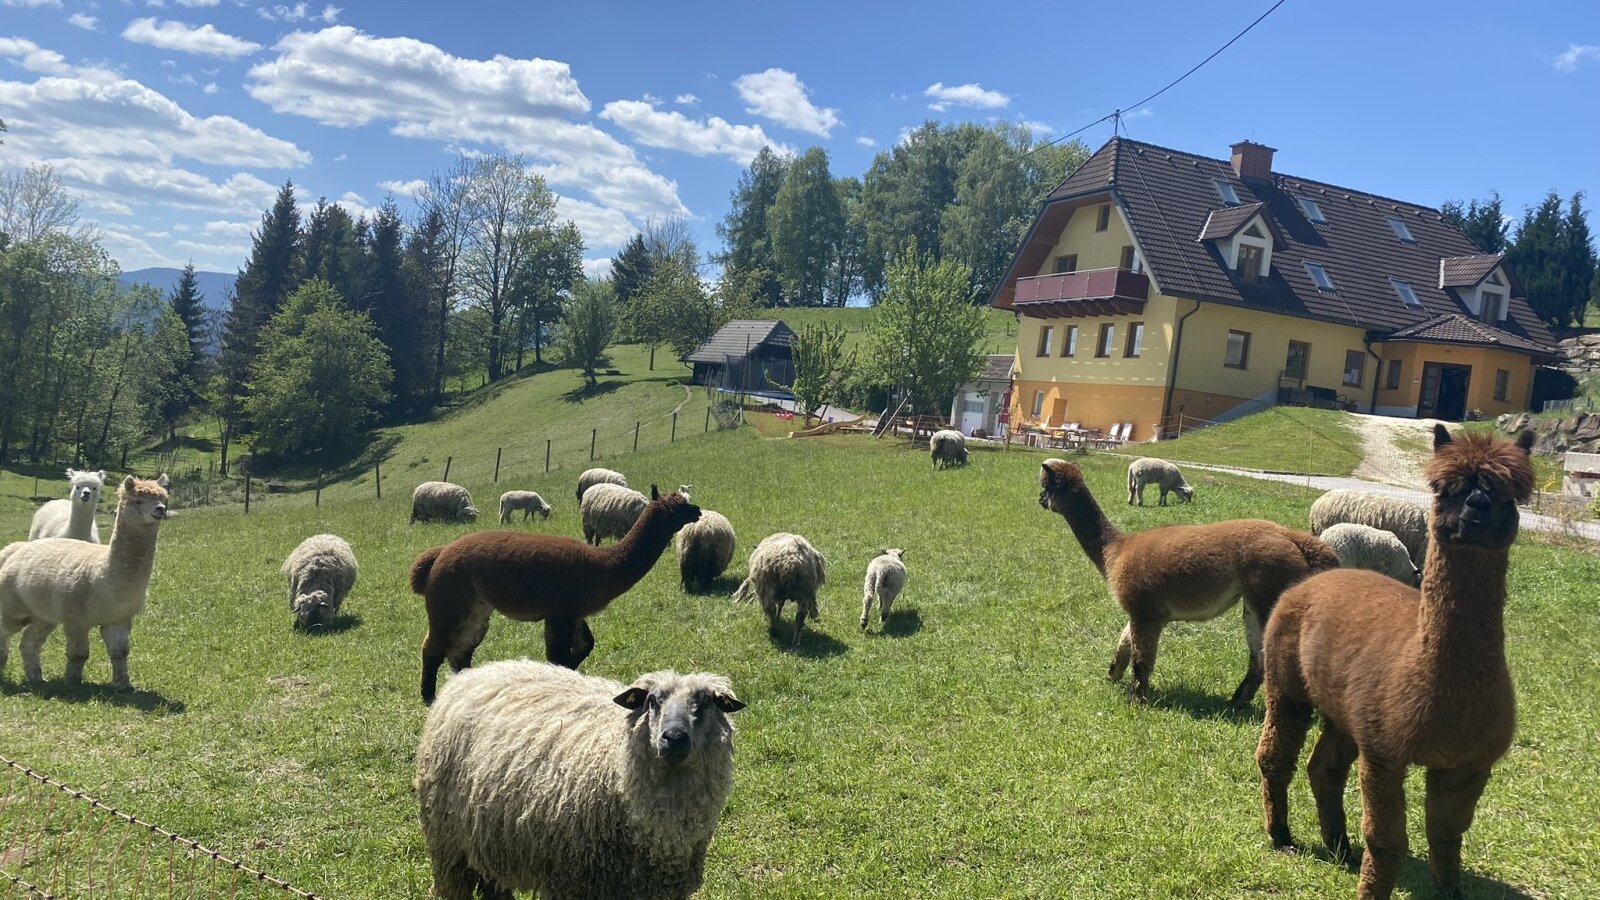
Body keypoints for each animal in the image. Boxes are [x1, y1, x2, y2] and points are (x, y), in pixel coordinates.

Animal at [0, 474, 170, 690]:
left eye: (164, 499)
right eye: (138, 501)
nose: (160, 510)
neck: (105, 577)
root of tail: (12, 549)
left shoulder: (120, 618)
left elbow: (120, 652)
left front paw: (124, 686)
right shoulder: (77, 619)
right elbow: (79, 654)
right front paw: (72, 684)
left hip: (44, 613)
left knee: (28, 642)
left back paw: (37, 679)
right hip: (12, 606)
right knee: (5, 631)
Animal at [416, 660, 745, 900]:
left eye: (706, 702)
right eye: (652, 701)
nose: (674, 738)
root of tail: (473, 672)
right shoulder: (572, 881)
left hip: (491, 836)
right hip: (448, 844)